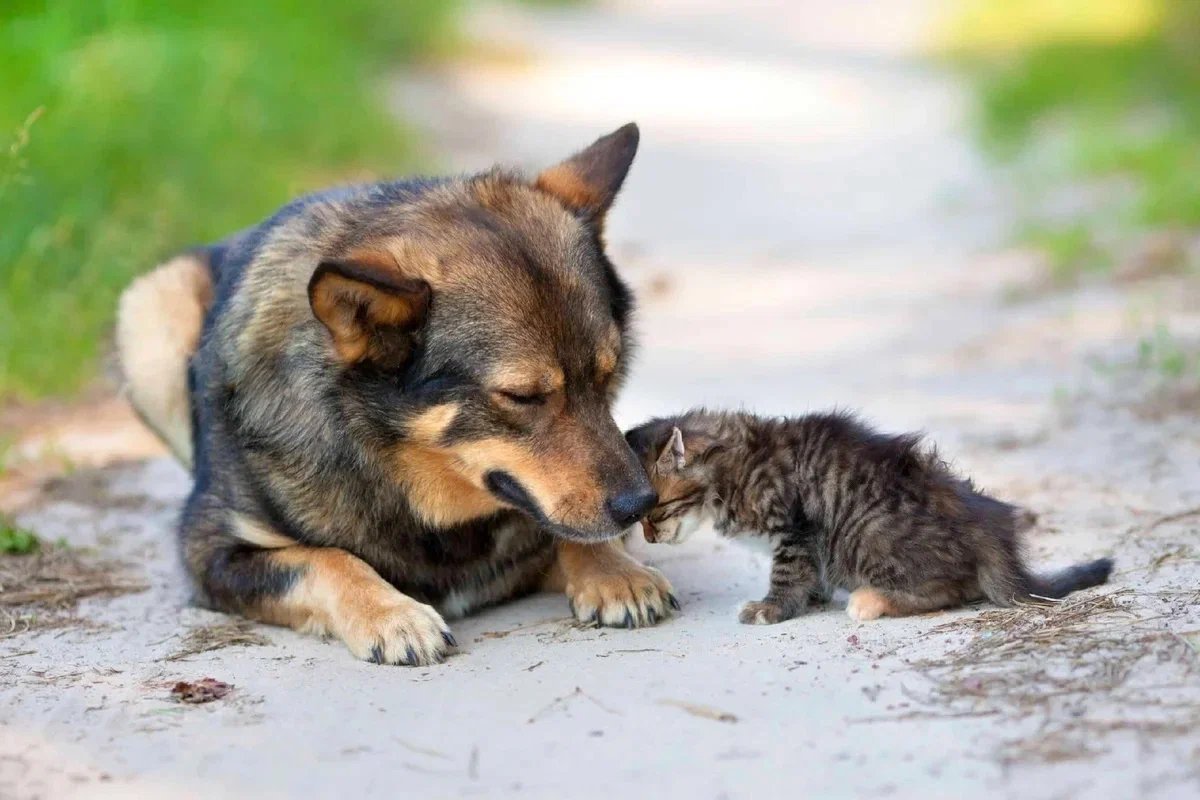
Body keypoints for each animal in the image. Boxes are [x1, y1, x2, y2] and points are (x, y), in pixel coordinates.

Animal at [117, 123, 681, 662]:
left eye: (608, 374)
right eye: (522, 396)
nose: (641, 504)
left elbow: (568, 533)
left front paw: (614, 572)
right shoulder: (212, 552)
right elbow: (326, 559)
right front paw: (391, 615)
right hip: (152, 309)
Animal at [628, 412, 1113, 623]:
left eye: (657, 510)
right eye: (640, 519)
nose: (649, 540)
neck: (735, 465)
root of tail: (988, 530)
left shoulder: (795, 528)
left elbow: (787, 574)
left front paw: (772, 608)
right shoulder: (806, 540)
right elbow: (809, 575)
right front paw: (812, 599)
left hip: (868, 534)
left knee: (950, 589)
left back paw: (870, 600)